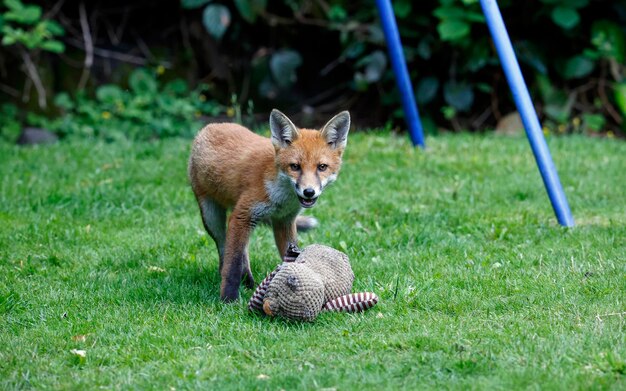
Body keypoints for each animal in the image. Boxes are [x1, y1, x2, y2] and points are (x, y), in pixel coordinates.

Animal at [188, 110, 348, 304]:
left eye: (322, 167)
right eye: (295, 166)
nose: (309, 192)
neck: (280, 196)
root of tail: (210, 126)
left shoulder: (284, 221)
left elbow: (291, 258)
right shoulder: (243, 214)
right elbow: (232, 265)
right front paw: (228, 298)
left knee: (243, 248)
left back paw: (247, 281)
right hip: (212, 216)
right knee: (224, 247)